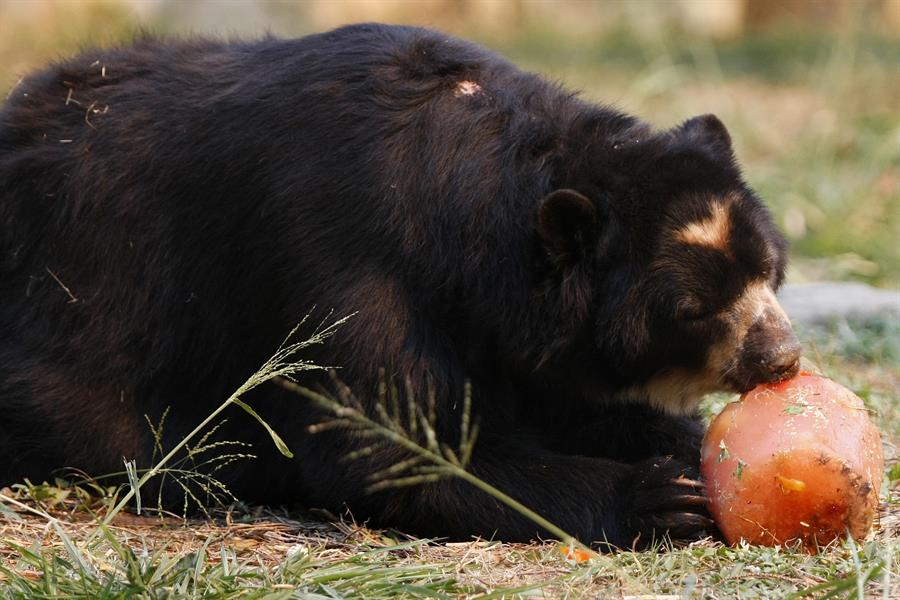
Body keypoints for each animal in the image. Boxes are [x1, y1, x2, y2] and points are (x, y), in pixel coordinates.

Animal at [0, 23, 801, 550]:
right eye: (692, 310)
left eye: (769, 270)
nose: (781, 358)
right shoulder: (344, 259)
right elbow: (383, 443)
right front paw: (658, 498)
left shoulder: (504, 327)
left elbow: (552, 394)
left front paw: (677, 444)